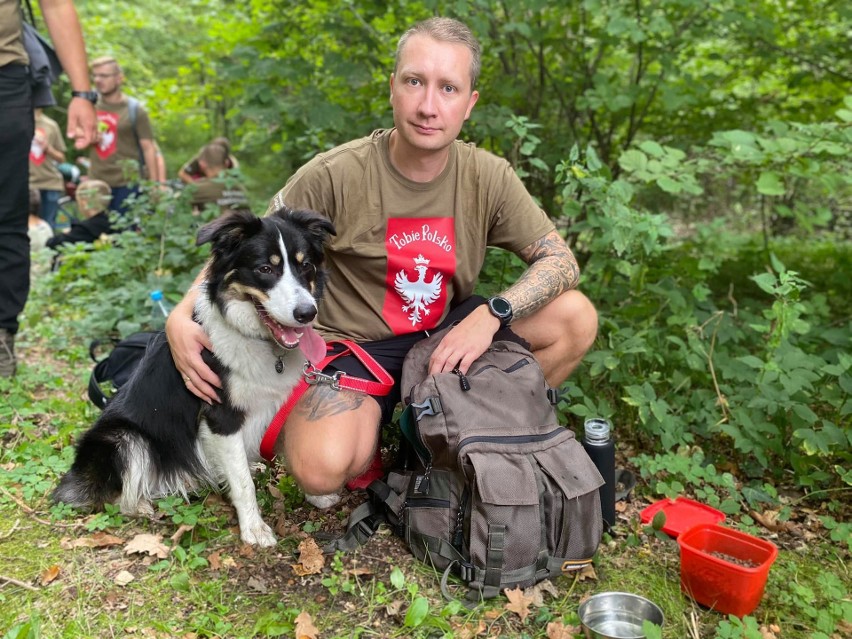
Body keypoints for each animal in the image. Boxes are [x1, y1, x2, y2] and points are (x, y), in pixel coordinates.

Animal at [51, 208, 334, 548]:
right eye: (265, 269)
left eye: (306, 266)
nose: (307, 312)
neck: (259, 341)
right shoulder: (220, 414)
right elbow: (243, 483)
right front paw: (253, 527)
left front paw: (315, 495)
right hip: (124, 438)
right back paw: (140, 504)